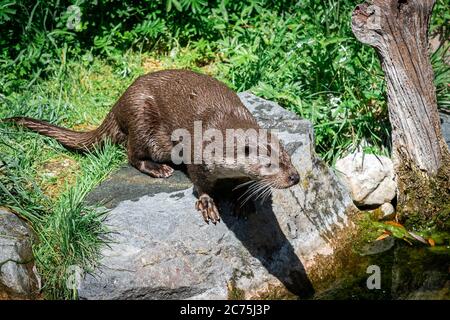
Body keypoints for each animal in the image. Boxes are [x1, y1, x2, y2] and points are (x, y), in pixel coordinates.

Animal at [4, 69, 298, 225]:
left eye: (287, 157)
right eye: (271, 164)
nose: (295, 177)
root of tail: (119, 102)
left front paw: (244, 200)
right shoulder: (196, 156)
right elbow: (200, 184)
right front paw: (207, 203)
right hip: (141, 119)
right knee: (131, 153)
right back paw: (158, 169)